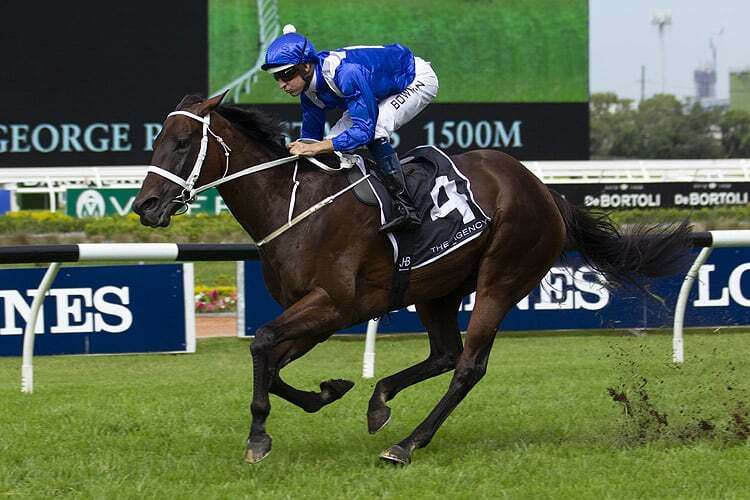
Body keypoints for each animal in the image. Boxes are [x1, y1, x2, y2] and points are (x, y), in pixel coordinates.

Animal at [133, 92, 691, 465]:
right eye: (155, 139)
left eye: (182, 142)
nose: (145, 206)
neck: (296, 206)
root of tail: (545, 191)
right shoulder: (319, 314)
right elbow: (270, 358)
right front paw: (327, 391)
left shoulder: (332, 304)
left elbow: (263, 343)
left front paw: (257, 437)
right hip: (436, 289)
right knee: (444, 353)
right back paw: (380, 402)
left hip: (502, 277)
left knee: (468, 366)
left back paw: (406, 444)